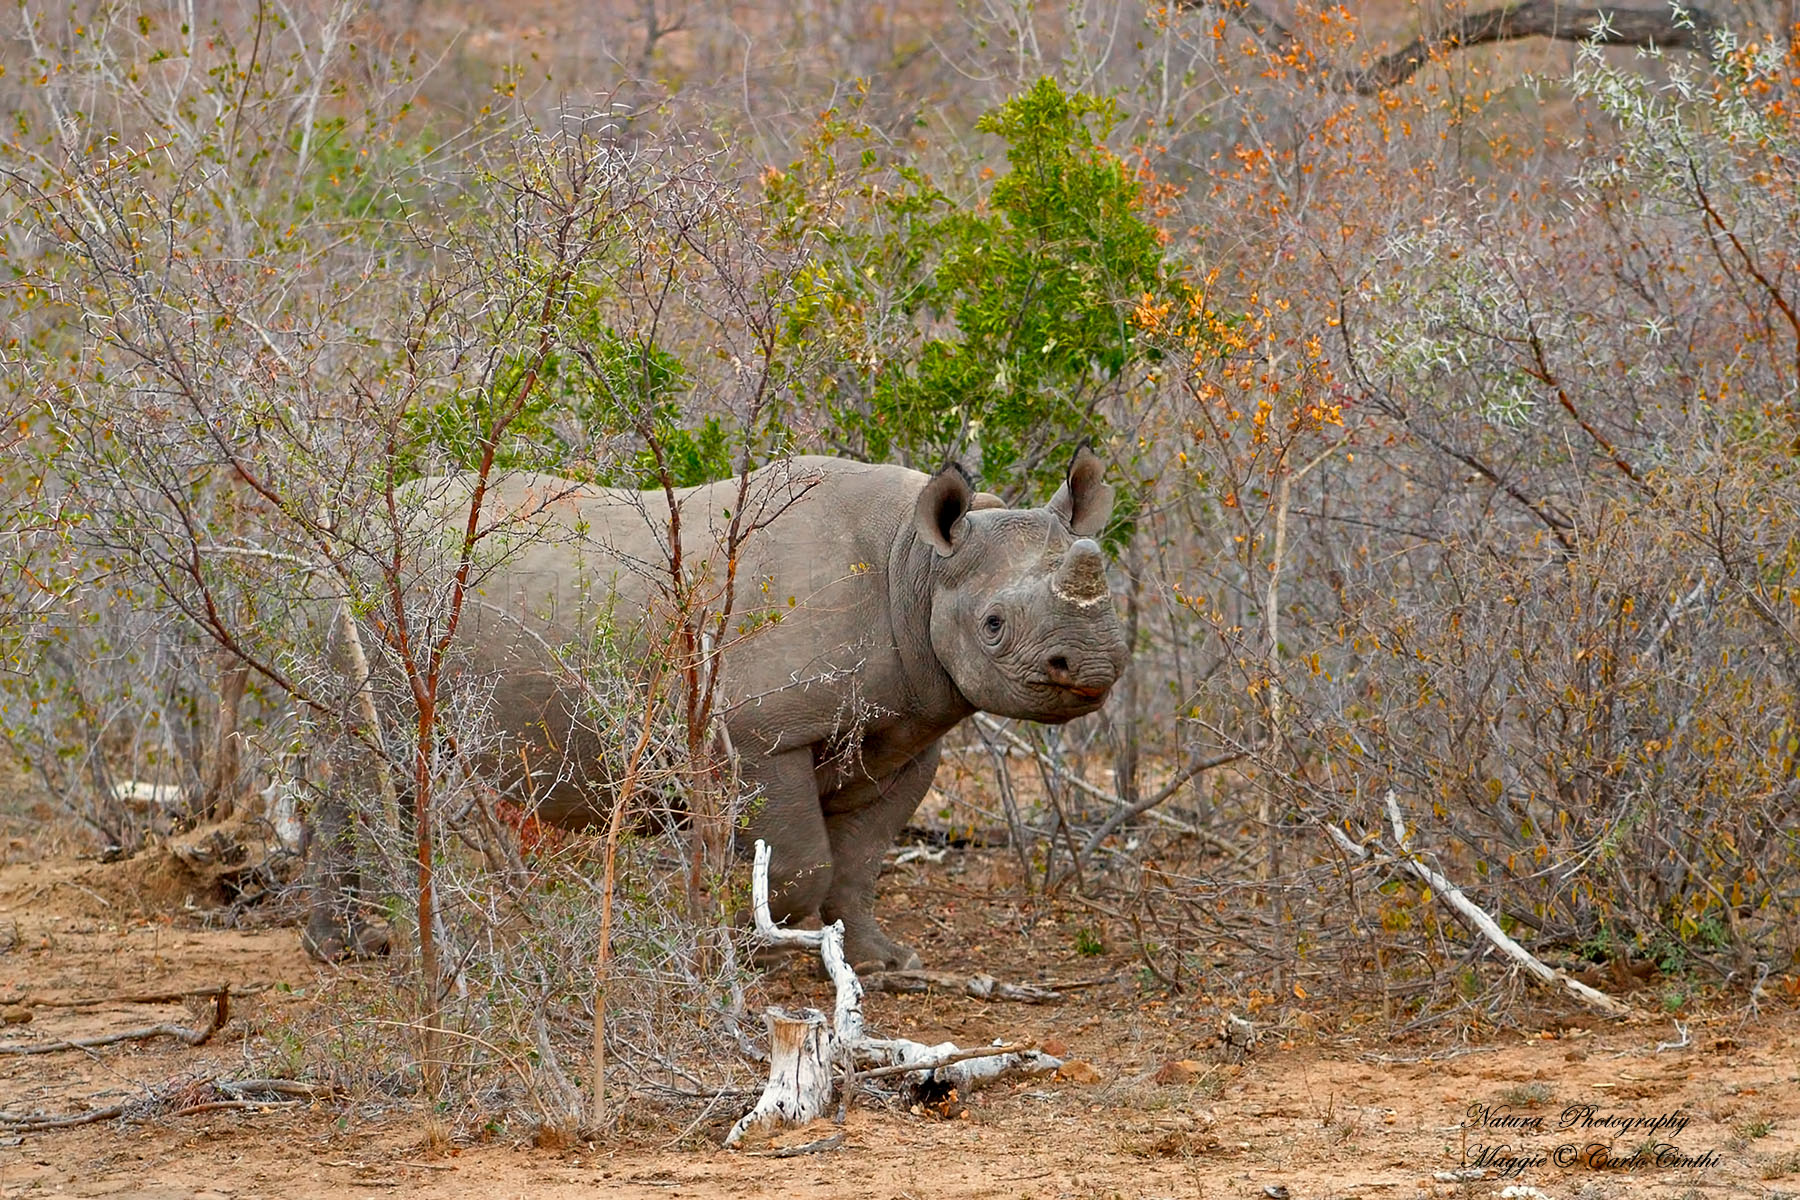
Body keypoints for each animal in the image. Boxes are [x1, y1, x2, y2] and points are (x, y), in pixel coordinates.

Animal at [330, 446, 1128, 969]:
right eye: (993, 625)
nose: (1091, 668)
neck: (919, 565)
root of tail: (356, 521)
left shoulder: (908, 734)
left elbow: (861, 861)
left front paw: (881, 962)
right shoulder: (759, 731)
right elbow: (804, 861)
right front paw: (746, 947)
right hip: (371, 604)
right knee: (369, 764)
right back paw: (363, 949)